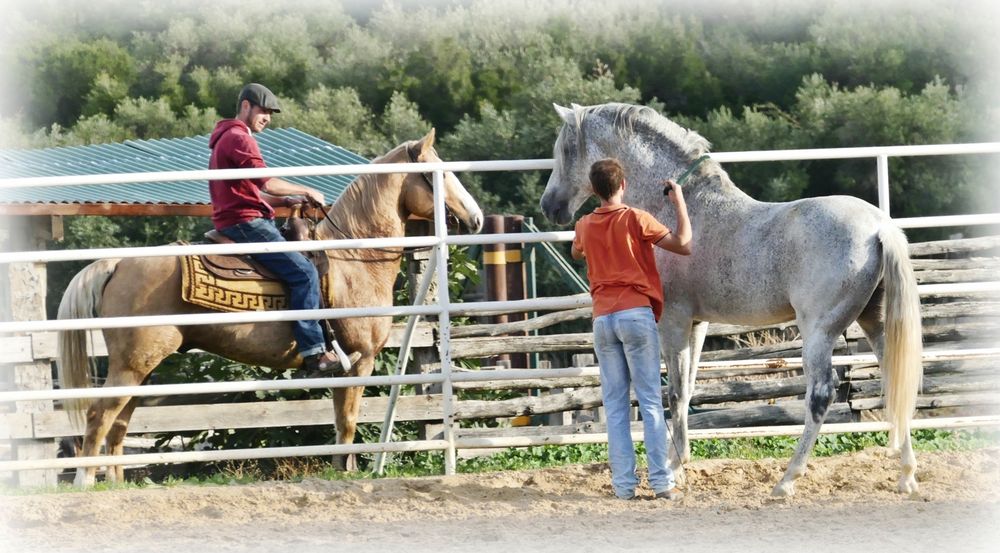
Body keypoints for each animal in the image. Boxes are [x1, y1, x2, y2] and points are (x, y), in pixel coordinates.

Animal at [58, 128, 484, 484]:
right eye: (442, 174)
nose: (477, 218)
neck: (351, 256)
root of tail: (116, 263)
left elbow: (339, 421)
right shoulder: (359, 359)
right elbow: (348, 421)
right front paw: (346, 473)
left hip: (141, 367)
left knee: (119, 423)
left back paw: (115, 483)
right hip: (131, 365)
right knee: (100, 415)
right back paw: (85, 482)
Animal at [544, 102, 924, 496]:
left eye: (566, 149)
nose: (549, 206)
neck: (684, 209)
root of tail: (879, 227)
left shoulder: (673, 321)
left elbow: (674, 393)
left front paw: (673, 468)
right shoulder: (697, 323)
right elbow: (689, 388)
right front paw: (678, 464)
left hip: (818, 332)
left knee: (820, 395)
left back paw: (786, 480)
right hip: (874, 322)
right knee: (896, 380)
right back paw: (906, 476)